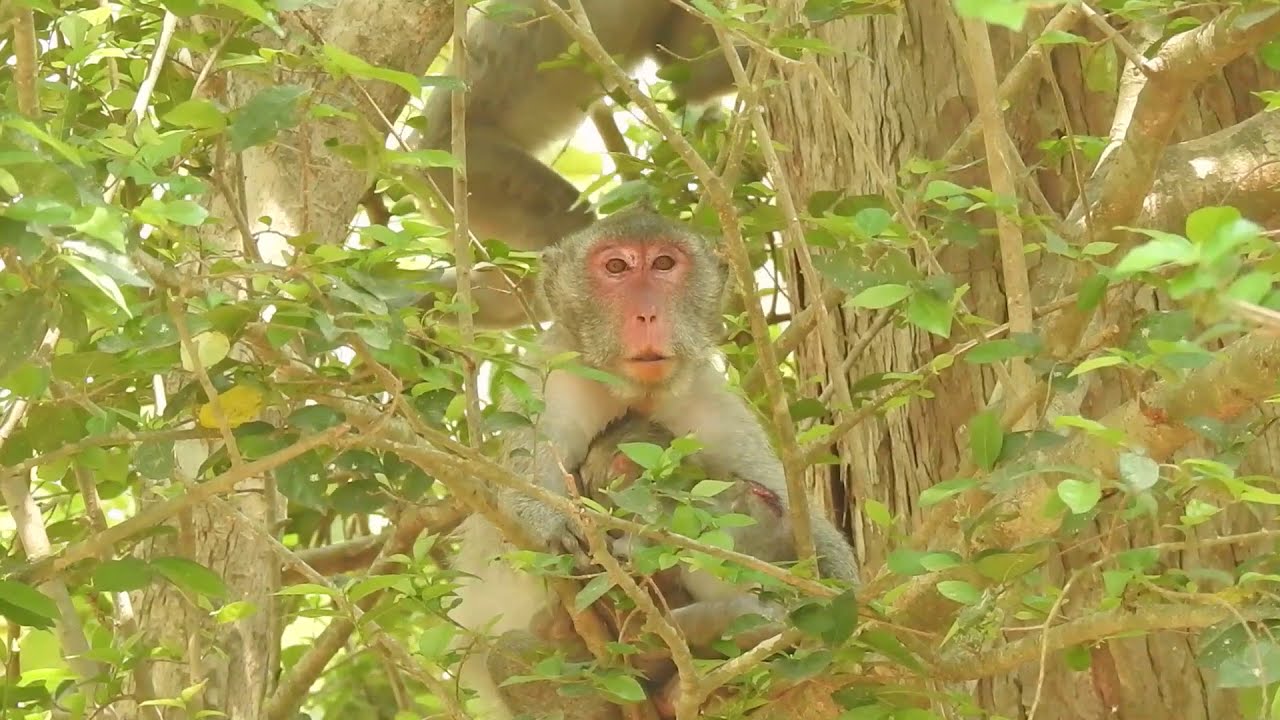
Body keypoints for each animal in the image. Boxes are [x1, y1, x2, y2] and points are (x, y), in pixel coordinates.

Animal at [446, 210, 858, 719]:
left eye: (664, 263)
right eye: (616, 267)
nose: (647, 314)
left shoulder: (710, 401)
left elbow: (786, 508)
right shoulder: (551, 378)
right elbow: (517, 490)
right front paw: (556, 526)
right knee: (511, 656)